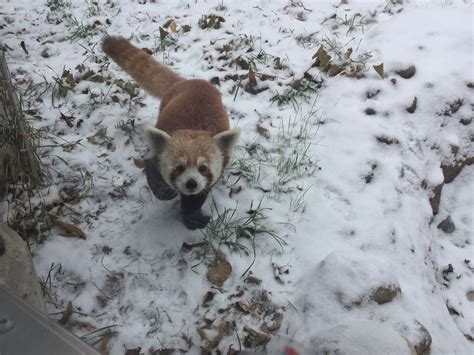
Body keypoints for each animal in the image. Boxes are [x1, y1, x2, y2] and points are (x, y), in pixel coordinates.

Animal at [102, 36, 239, 231]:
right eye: (179, 167)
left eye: (203, 168)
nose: (191, 183)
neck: (192, 128)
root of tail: (190, 81)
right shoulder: (156, 157)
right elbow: (156, 180)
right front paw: (167, 193)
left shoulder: (209, 179)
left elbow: (195, 199)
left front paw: (193, 219)